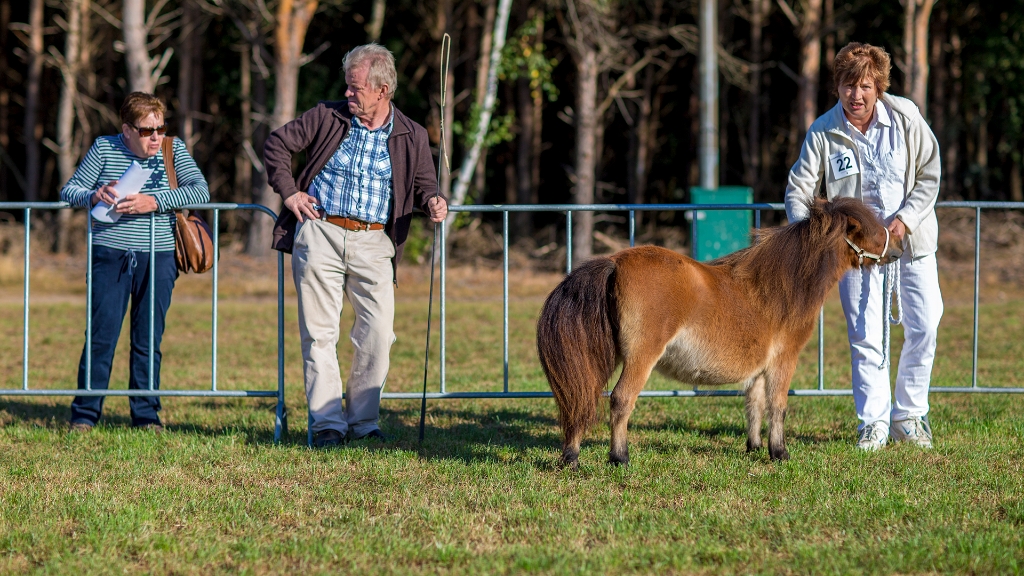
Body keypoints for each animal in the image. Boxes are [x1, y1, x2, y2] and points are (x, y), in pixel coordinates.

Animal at [540, 199, 901, 463]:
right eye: (869, 229)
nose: (898, 246)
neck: (780, 287)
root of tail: (615, 261)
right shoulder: (783, 361)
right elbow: (778, 406)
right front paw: (780, 452)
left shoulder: (758, 369)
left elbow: (754, 403)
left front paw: (755, 447)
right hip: (640, 358)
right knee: (620, 399)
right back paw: (619, 457)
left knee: (581, 398)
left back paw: (571, 457)